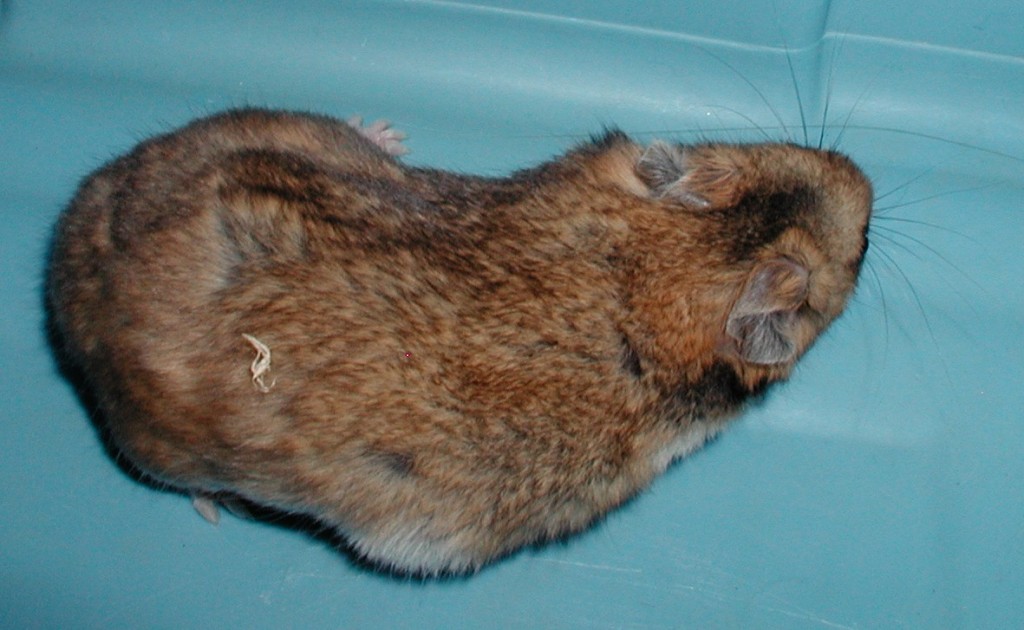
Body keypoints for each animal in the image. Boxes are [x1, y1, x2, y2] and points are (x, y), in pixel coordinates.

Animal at [47, 108, 872, 575]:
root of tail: (63, 259)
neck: (664, 267)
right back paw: (215, 507)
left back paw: (385, 135)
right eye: (862, 248)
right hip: (160, 447)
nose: (865, 176)